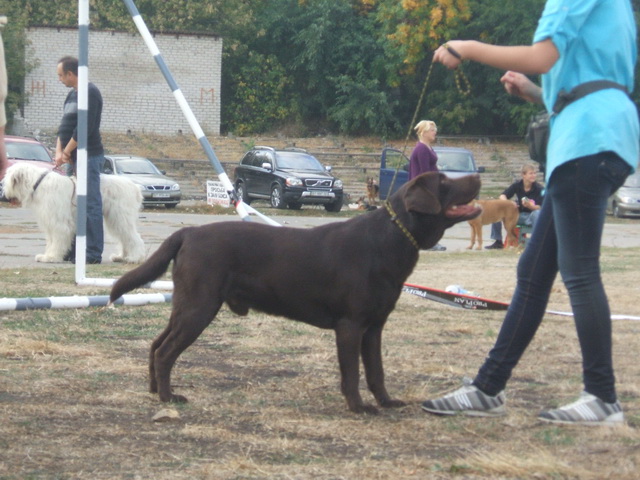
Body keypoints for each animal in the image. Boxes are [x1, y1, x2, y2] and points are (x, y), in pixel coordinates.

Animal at [4, 162, 146, 263]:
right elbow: (51, 240)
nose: (4, 195)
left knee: (134, 238)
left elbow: (57, 239)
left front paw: (52, 257)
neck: (38, 184)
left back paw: (134, 258)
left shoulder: (59, 223)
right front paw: (47, 255)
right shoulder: (50, 222)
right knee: (125, 238)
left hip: (120, 217)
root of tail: (135, 187)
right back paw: (121, 257)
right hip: (116, 219)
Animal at [110, 172, 481, 413]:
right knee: (165, 351)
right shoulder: (350, 325)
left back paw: (155, 390)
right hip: (199, 308)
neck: (389, 240)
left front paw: (387, 402)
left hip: (187, 306)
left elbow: (377, 371)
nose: (477, 176)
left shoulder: (374, 326)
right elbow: (352, 373)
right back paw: (168, 398)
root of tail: (186, 232)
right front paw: (359, 407)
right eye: (444, 182)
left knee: (156, 345)